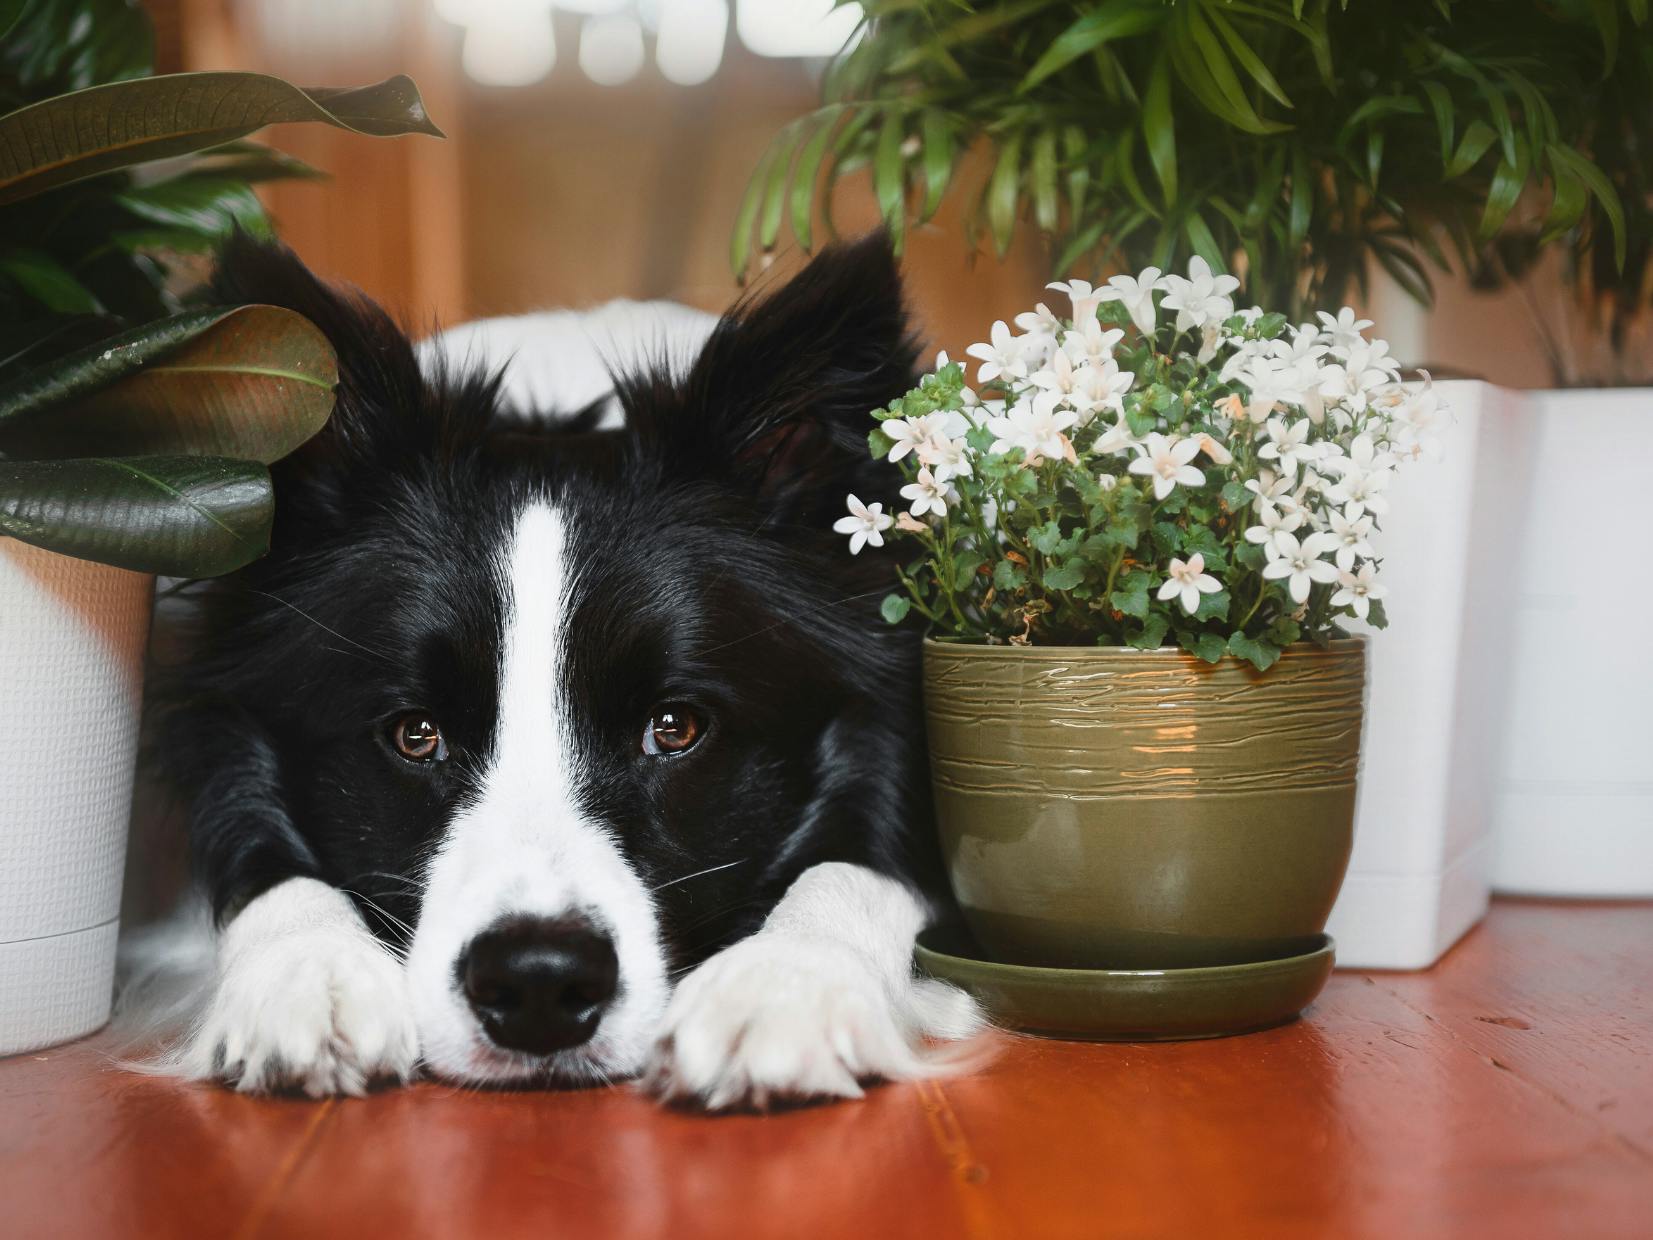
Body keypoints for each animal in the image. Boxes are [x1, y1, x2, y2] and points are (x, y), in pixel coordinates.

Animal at [142, 238, 978, 1111]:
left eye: (674, 727)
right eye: (414, 733)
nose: (538, 984)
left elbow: (848, 865)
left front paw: (787, 987)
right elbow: (272, 876)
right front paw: (305, 977)